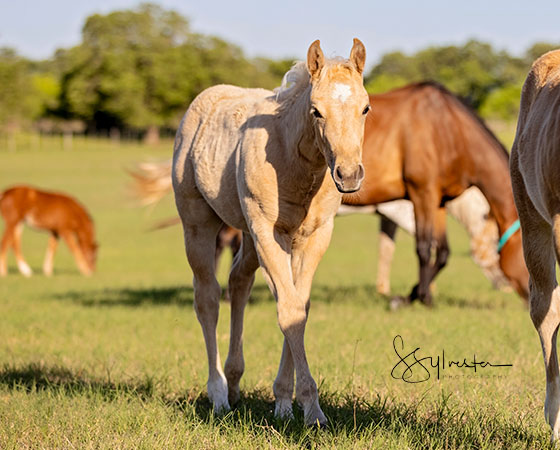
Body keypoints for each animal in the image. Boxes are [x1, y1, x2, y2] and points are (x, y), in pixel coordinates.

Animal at [151, 39, 368, 426]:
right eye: (316, 112)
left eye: (365, 108)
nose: (348, 174)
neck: (293, 163)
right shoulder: (269, 233)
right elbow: (289, 310)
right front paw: (312, 409)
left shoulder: (314, 237)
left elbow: (300, 306)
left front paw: (284, 402)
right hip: (199, 224)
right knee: (207, 298)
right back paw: (219, 394)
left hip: (249, 238)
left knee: (238, 282)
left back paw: (235, 383)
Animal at [342, 81, 528, 306]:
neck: (446, 129)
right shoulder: (420, 197)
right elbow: (423, 247)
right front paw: (413, 297)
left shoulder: (438, 201)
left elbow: (442, 252)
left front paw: (417, 295)